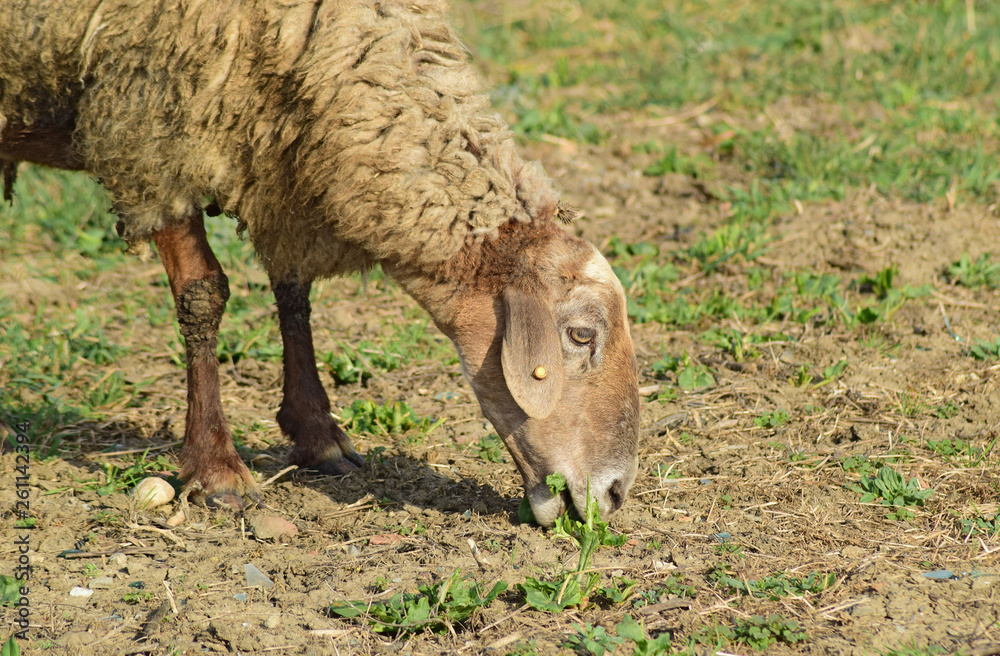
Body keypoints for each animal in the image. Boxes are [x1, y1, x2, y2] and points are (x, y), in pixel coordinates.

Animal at [0, 0, 640, 526]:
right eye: (581, 335)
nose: (614, 495)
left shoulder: (282, 158)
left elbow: (294, 290)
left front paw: (316, 435)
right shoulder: (152, 131)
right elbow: (203, 294)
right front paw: (215, 468)